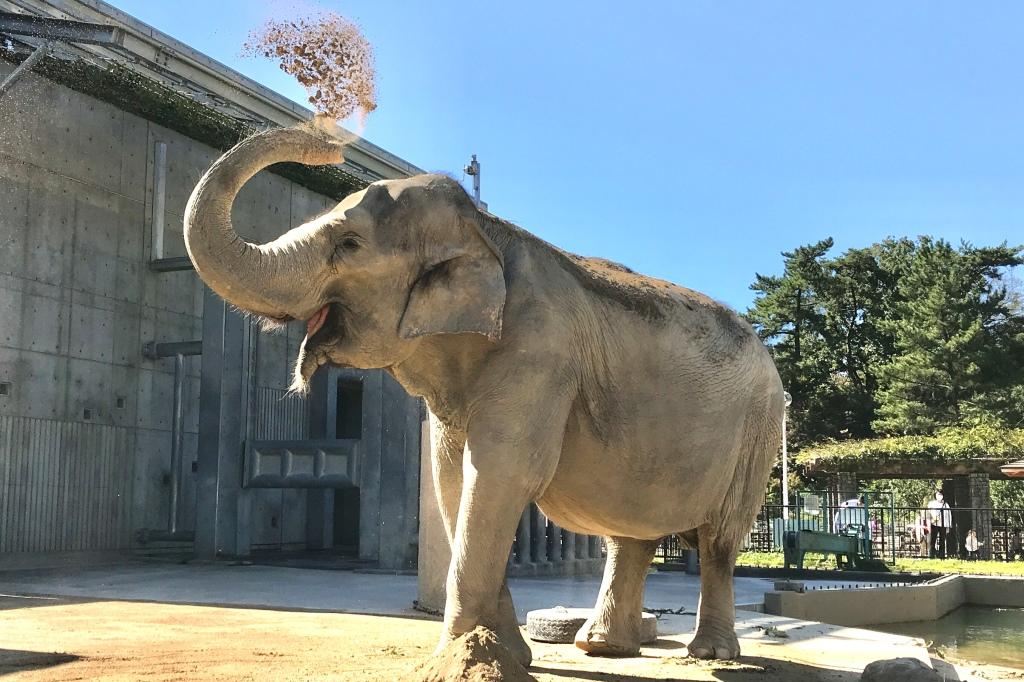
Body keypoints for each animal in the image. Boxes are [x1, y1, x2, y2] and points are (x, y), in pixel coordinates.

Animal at [184, 123, 782, 663]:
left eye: (349, 245)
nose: (327, 141)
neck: (486, 230)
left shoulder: (540, 355)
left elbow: (500, 477)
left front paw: (467, 664)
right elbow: (455, 483)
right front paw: (500, 655)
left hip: (758, 429)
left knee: (719, 540)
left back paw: (708, 654)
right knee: (628, 535)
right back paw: (601, 647)